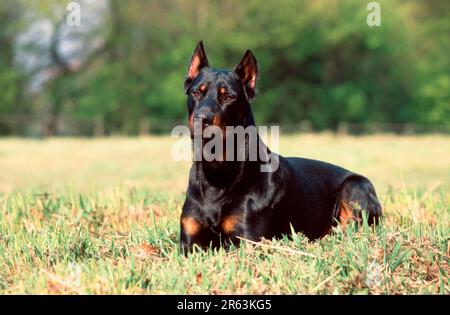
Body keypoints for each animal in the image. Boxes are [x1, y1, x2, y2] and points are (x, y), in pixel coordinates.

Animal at [178, 42, 380, 254]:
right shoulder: (189, 242)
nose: (202, 118)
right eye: (196, 92)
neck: (217, 173)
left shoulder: (244, 240)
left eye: (229, 97)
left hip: (356, 186)